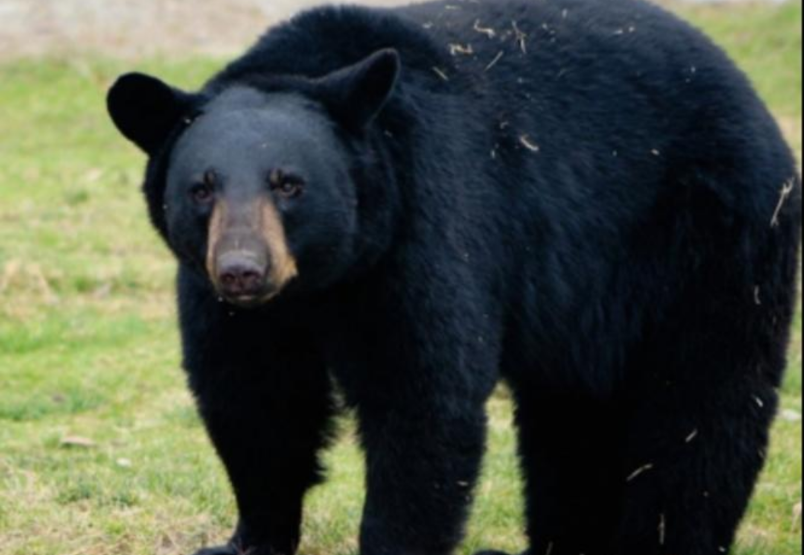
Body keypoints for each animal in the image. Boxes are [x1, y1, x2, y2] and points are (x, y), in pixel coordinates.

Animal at [108, 0, 804, 552]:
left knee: (701, 408)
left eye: (289, 184)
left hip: (713, 240)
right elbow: (254, 401)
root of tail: (748, 94)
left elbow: (423, 398)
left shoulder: (427, 226)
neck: (321, 284)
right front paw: (248, 538)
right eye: (201, 188)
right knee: (572, 415)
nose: (243, 271)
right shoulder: (229, 307)